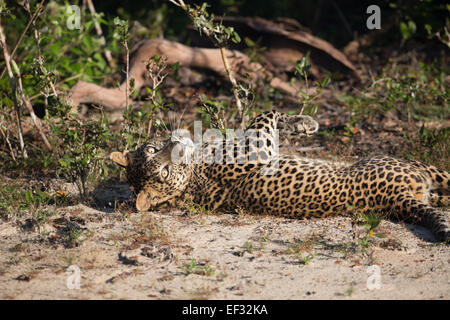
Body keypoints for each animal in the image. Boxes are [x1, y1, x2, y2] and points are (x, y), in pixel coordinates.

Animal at [110, 111, 450, 241]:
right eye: (165, 170)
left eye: (154, 149)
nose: (177, 144)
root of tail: (395, 199)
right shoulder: (255, 150)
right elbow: (265, 116)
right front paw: (306, 122)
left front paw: (303, 124)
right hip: (410, 166)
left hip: (429, 176)